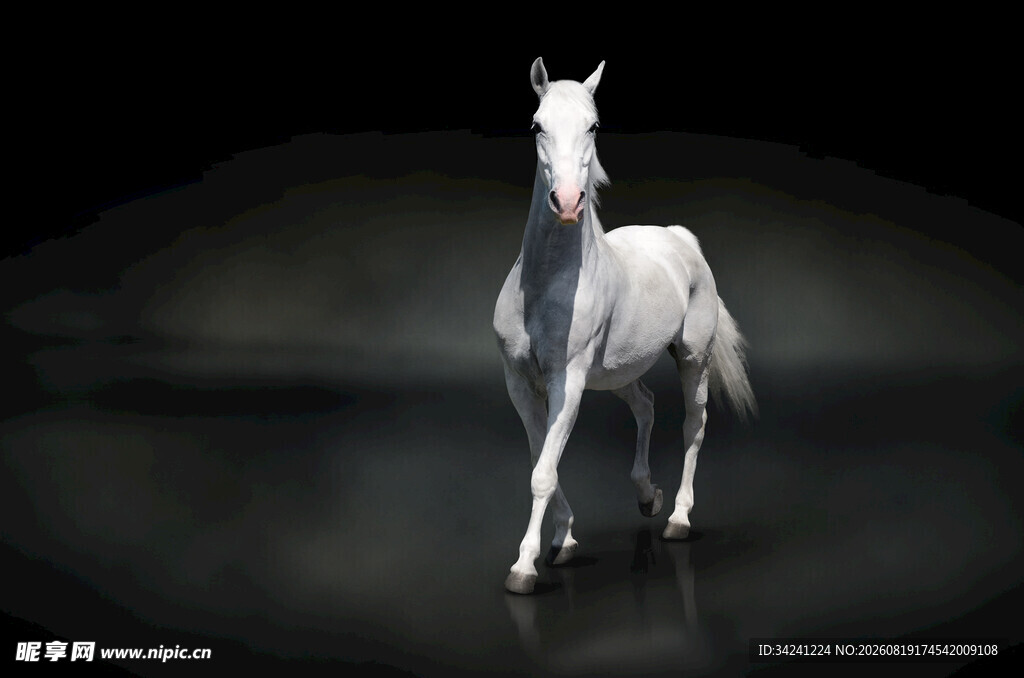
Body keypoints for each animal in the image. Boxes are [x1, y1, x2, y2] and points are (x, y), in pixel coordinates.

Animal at [492, 58, 757, 595]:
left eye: (593, 126)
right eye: (536, 125)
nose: (567, 202)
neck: (544, 285)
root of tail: (679, 239)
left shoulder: (567, 381)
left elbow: (543, 473)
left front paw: (524, 567)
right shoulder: (520, 382)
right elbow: (543, 460)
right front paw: (565, 542)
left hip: (693, 360)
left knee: (693, 425)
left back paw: (677, 517)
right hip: (616, 374)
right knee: (646, 406)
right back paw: (646, 496)